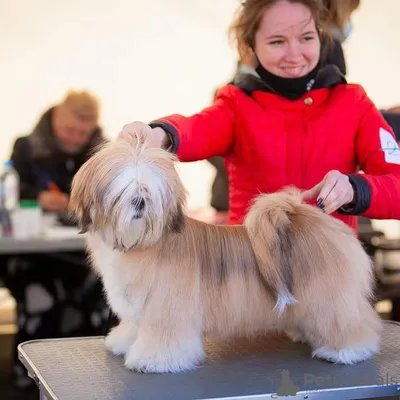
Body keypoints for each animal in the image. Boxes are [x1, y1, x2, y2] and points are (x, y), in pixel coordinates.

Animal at [68, 133, 382, 374]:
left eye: (149, 190)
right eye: (122, 189)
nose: (140, 201)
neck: (142, 244)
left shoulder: (167, 309)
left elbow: (164, 337)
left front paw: (153, 360)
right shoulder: (140, 308)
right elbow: (134, 326)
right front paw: (123, 343)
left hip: (331, 297)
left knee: (349, 322)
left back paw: (346, 350)